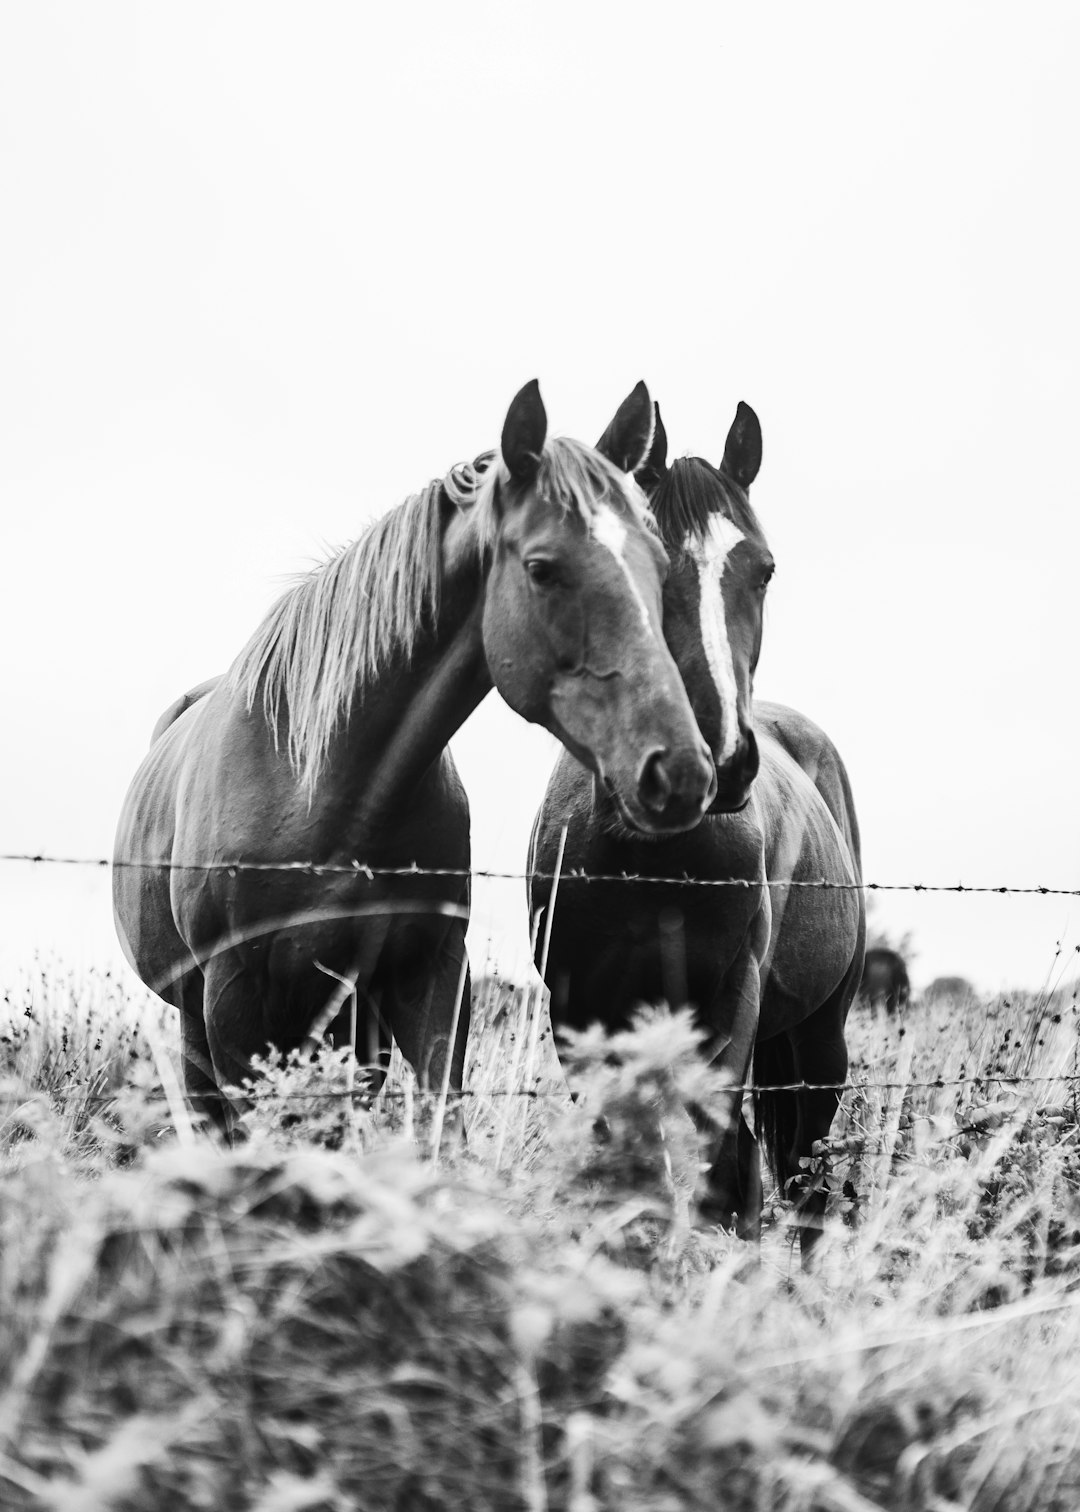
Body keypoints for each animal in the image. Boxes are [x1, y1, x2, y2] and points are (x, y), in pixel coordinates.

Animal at [115, 384, 713, 1137]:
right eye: (542, 567)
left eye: (657, 566)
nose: (680, 771)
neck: (325, 788)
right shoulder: (233, 1001)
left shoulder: (426, 981)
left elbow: (437, 1125)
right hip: (204, 1020)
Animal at [526, 399, 865, 1251]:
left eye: (764, 568)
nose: (720, 758)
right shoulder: (578, 1010)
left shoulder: (731, 998)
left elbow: (719, 1168)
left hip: (820, 1037)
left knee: (801, 1174)